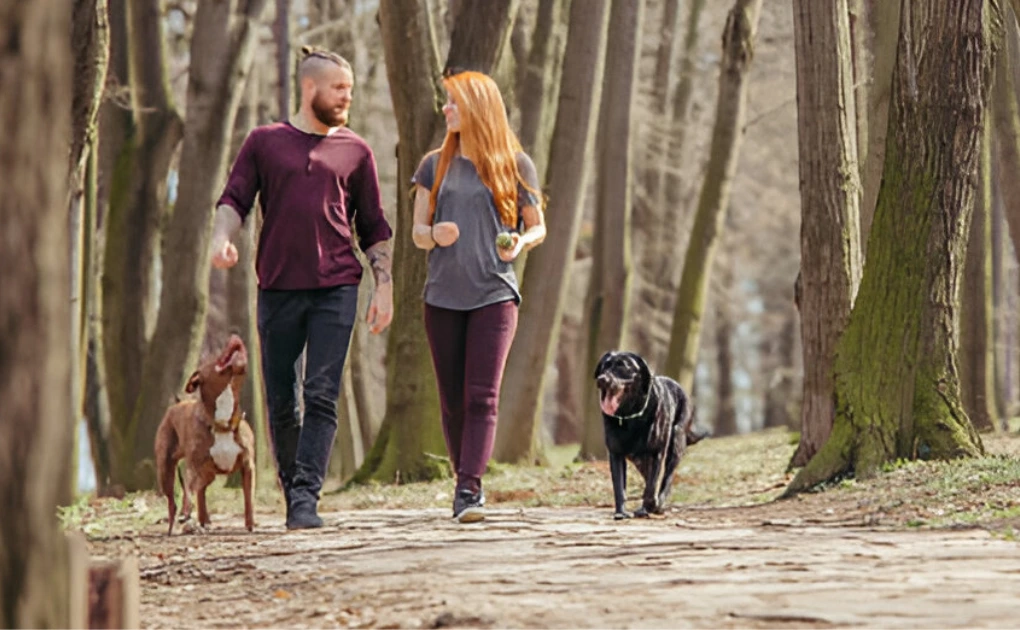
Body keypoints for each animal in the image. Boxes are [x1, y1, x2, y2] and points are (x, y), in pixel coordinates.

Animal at [157, 330, 259, 534]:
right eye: (215, 355)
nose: (235, 336)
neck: (223, 422)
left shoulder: (248, 465)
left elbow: (248, 498)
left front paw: (251, 524)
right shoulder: (193, 465)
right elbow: (188, 489)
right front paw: (186, 511)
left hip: (208, 475)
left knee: (201, 491)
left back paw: (204, 520)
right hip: (165, 468)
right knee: (173, 500)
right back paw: (176, 525)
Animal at [595, 350, 705, 517]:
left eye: (622, 366)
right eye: (604, 366)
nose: (602, 379)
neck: (630, 416)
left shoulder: (656, 452)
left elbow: (652, 486)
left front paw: (650, 505)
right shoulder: (615, 453)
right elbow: (619, 486)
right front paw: (621, 513)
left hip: (676, 440)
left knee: (667, 478)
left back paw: (657, 505)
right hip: (638, 459)